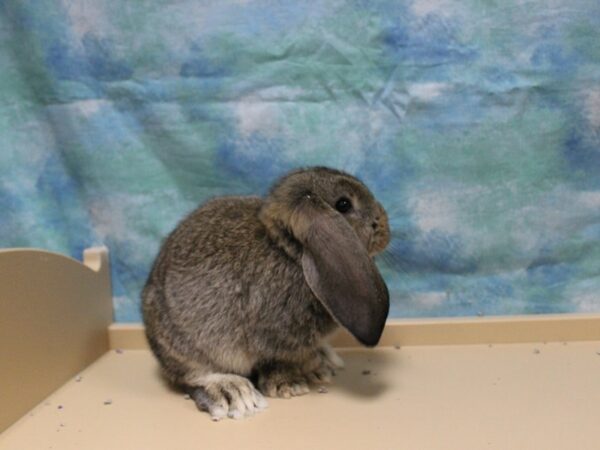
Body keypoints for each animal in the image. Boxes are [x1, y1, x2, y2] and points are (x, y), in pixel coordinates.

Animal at [142, 166, 392, 422]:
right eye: (343, 204)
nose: (383, 226)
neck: (290, 251)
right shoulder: (275, 342)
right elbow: (277, 363)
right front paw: (290, 386)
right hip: (184, 345)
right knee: (191, 376)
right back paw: (234, 393)